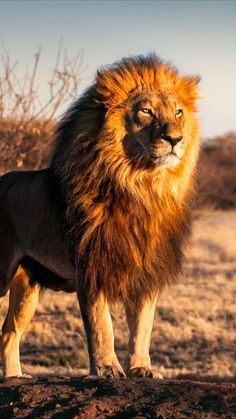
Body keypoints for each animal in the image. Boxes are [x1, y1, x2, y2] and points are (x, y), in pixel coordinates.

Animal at [0, 54, 200, 378]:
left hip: (27, 285)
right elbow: (101, 324)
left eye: (179, 112)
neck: (141, 187)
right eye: (146, 111)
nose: (175, 138)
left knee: (9, 332)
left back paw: (15, 376)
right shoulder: (91, 266)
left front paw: (142, 368)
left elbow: (143, 326)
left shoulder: (146, 271)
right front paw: (107, 368)